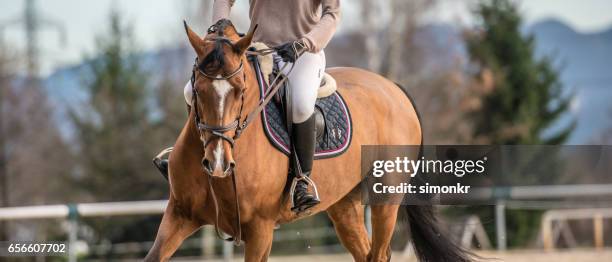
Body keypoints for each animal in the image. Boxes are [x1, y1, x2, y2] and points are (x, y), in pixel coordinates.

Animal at [145, 21, 474, 262]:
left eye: (240, 90)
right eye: (198, 89)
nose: (217, 163)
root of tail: (393, 87)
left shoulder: (260, 229)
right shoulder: (179, 215)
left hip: (386, 199)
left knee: (379, 253)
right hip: (344, 204)